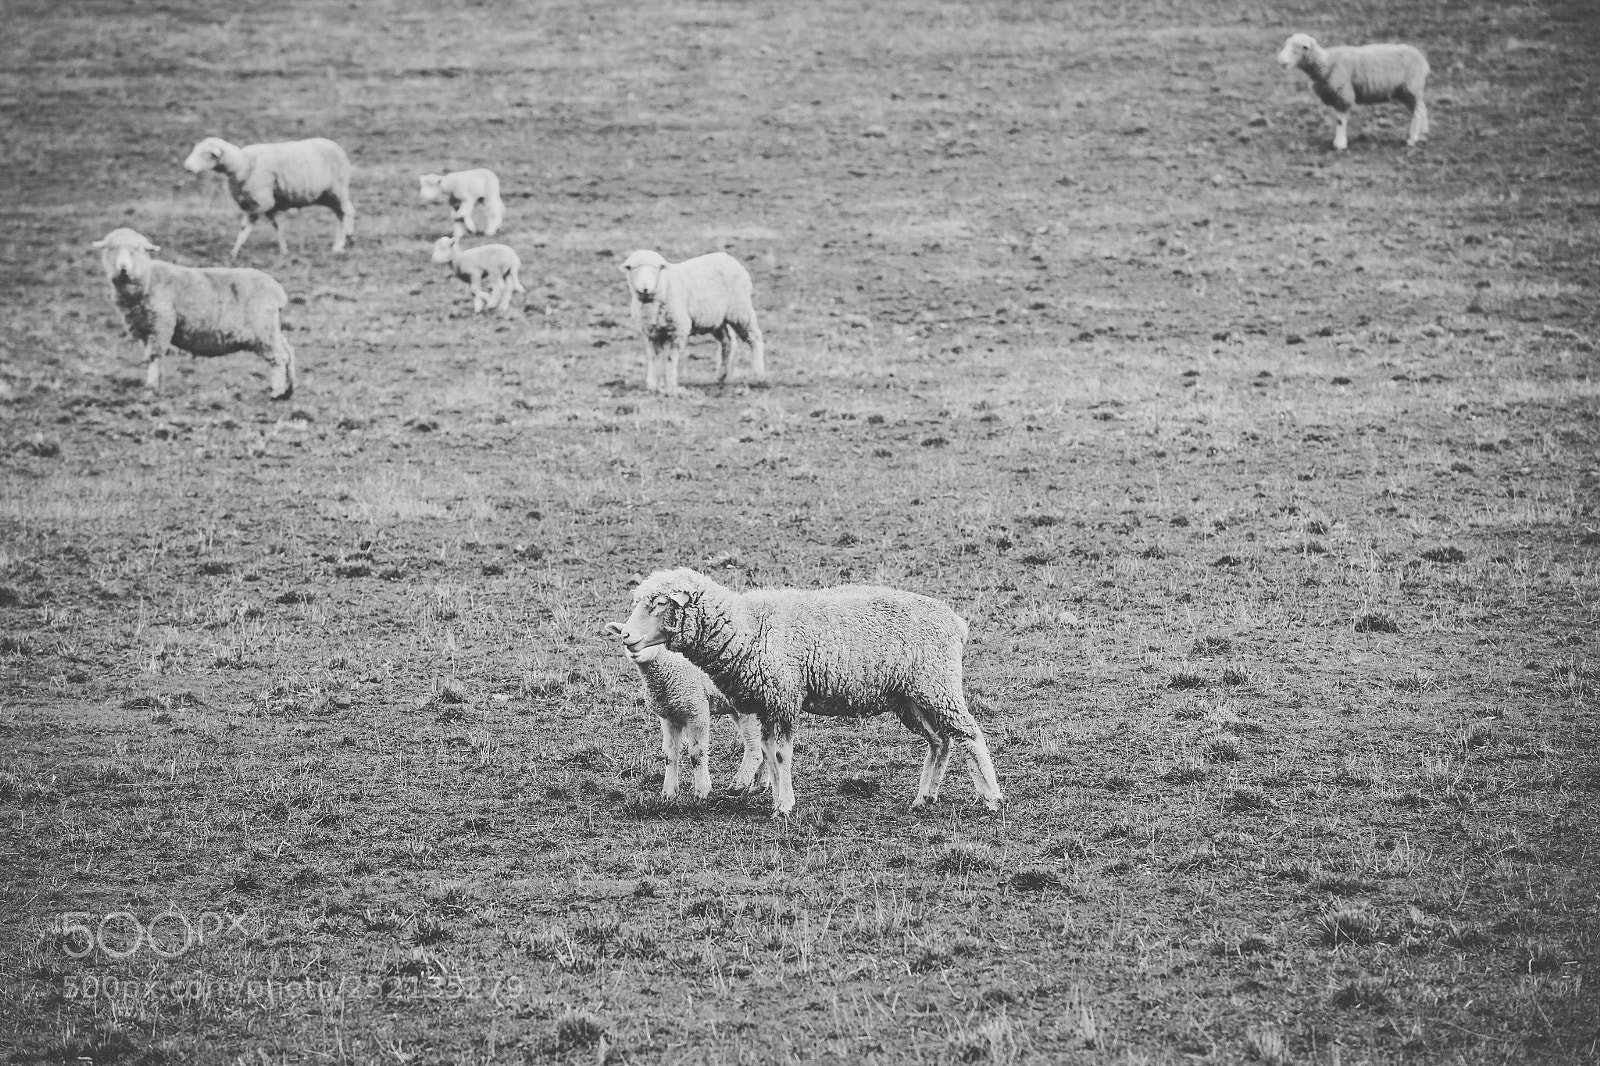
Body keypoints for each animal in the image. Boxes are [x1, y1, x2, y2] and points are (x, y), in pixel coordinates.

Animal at [91, 228, 297, 399]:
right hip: (269, 327)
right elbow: (150, 356)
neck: (148, 280)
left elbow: (155, 356)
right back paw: (289, 388)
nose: (123, 268)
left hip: (262, 328)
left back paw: (278, 392)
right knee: (288, 351)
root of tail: (278, 291)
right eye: (112, 248)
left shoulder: (161, 325)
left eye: (136, 249)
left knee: (279, 357)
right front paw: (157, 382)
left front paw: (151, 387)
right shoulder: (145, 329)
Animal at [182, 136, 355, 259]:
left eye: (208, 154)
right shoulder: (263, 205)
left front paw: (234, 252)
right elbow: (274, 226)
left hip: (337, 190)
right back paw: (345, 239)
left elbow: (246, 227)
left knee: (345, 212)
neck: (242, 164)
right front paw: (283, 250)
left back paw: (340, 244)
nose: (187, 168)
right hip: (327, 195)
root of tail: (340, 149)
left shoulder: (261, 201)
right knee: (343, 213)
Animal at [604, 622, 769, 800]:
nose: (633, 651)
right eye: (624, 635)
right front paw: (669, 793)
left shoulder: (697, 710)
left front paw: (702, 791)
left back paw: (738, 785)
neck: (668, 665)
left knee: (755, 748)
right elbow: (670, 754)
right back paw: (758, 786)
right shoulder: (669, 717)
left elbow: (697, 754)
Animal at [618, 250, 765, 396]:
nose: (645, 288)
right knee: (727, 341)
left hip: (740, 310)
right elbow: (654, 358)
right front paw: (653, 386)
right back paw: (720, 376)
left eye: (656, 269)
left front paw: (671, 388)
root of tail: (730, 258)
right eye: (634, 268)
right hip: (716, 318)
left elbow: (670, 359)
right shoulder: (651, 334)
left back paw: (759, 375)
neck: (664, 286)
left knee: (754, 338)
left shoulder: (677, 329)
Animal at [1277, 34, 1430, 151]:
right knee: (1422, 108)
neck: (1327, 62)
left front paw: (1339, 144)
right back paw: (1423, 133)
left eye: (1299, 48)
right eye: (1285, 45)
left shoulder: (1344, 94)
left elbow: (1340, 120)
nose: (1280, 60)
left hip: (1410, 88)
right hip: (1407, 90)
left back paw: (1412, 139)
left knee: (1417, 112)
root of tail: (1422, 60)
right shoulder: (1335, 95)